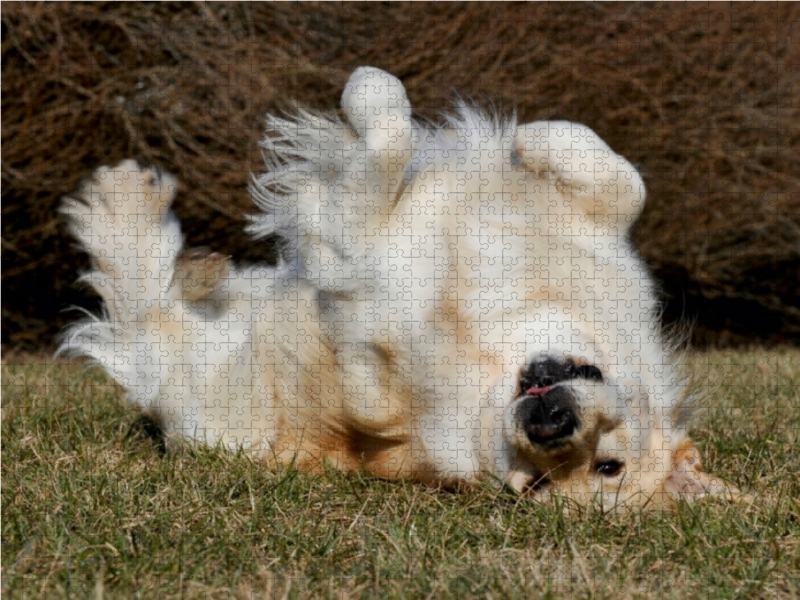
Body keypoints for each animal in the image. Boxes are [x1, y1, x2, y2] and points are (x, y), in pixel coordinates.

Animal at [57, 67, 744, 510]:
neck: (500, 337)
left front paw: (368, 98)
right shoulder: (605, 248)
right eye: (609, 463)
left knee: (140, 304)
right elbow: (622, 177)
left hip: (196, 380)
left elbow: (386, 137)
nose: (552, 423)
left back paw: (127, 207)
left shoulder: (357, 259)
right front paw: (532, 139)